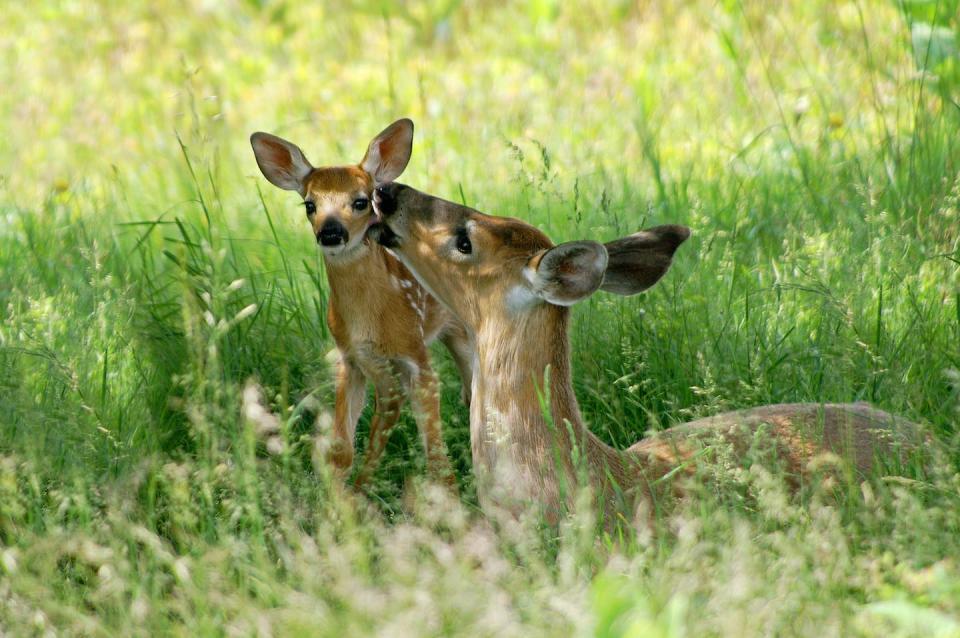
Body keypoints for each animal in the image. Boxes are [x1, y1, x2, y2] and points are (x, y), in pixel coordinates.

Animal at [249, 120, 470, 488]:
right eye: (309, 204)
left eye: (361, 201)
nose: (331, 233)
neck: (369, 318)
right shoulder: (350, 358)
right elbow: (342, 449)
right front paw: (342, 498)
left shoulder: (414, 353)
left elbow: (436, 455)